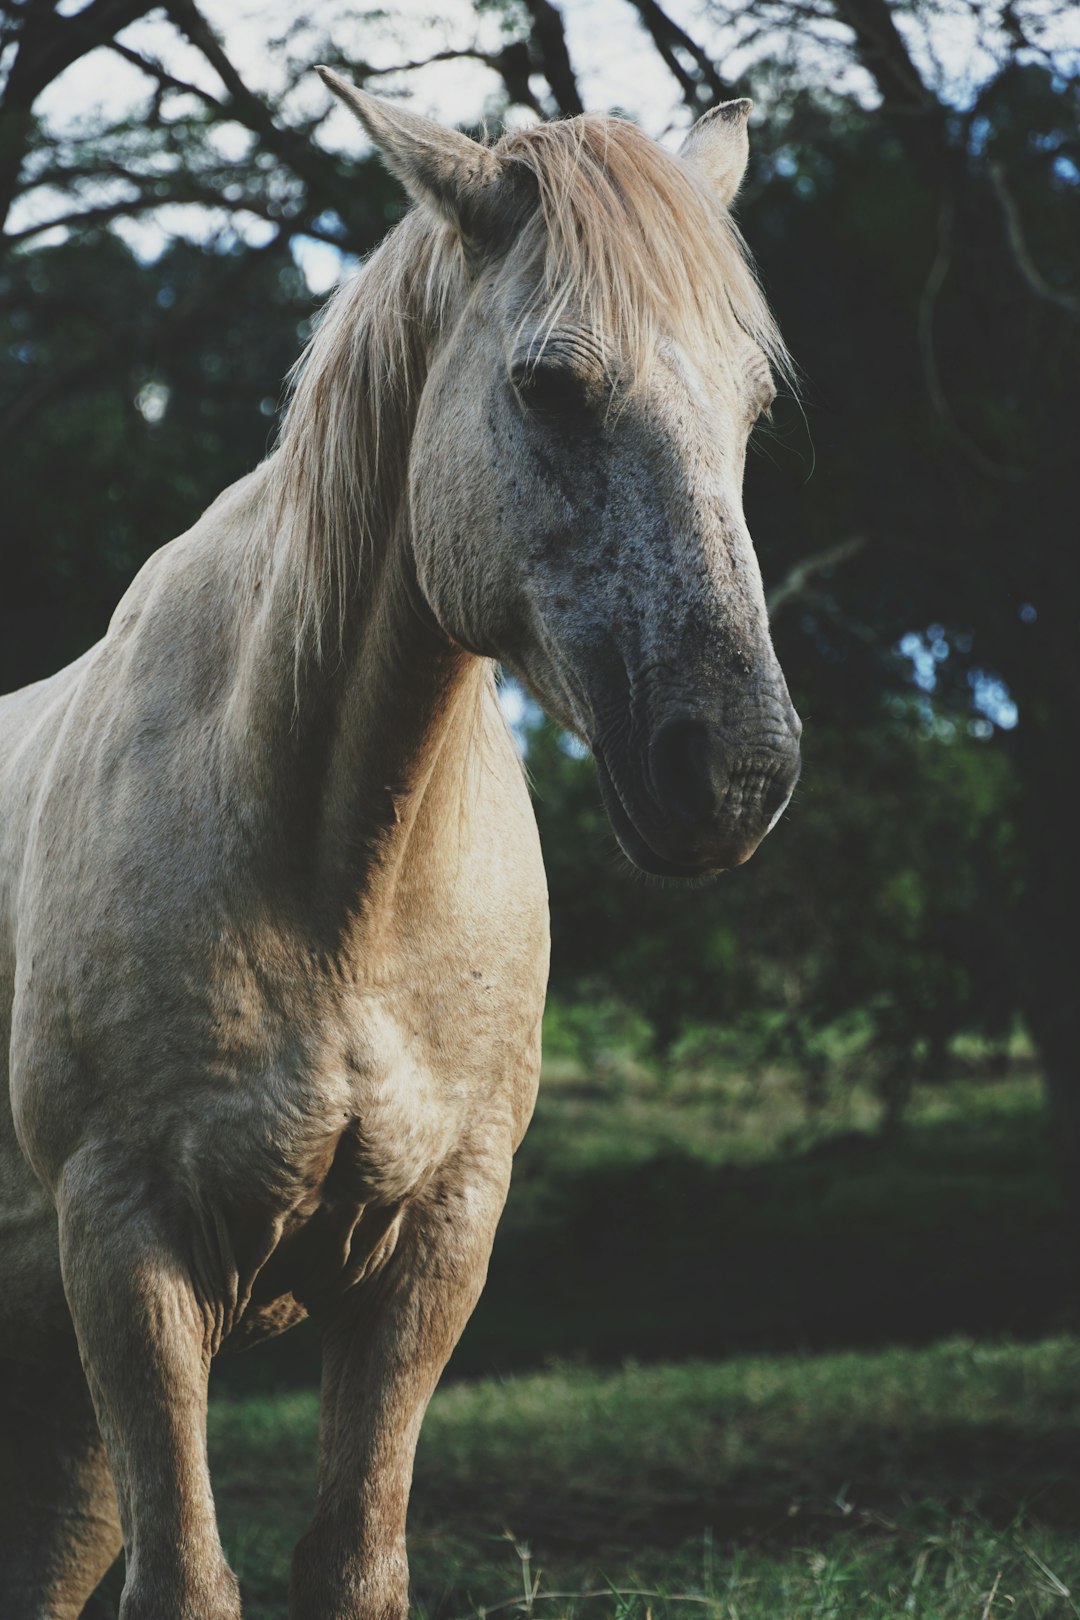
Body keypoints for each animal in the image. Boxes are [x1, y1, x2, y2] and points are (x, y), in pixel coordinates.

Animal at [0, 76, 803, 1620]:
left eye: (754, 405)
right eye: (549, 387)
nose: (739, 772)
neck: (335, 881)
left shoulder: (436, 1242)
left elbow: (356, 1560)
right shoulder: (127, 1250)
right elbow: (189, 1580)